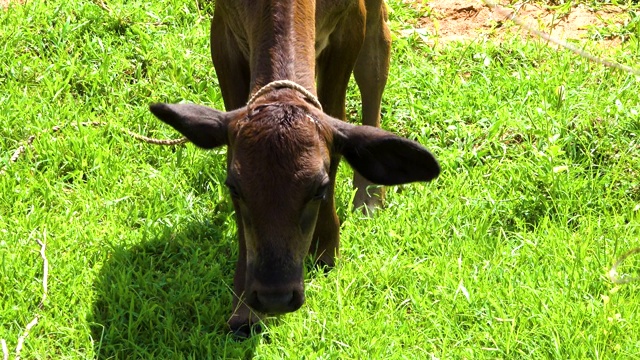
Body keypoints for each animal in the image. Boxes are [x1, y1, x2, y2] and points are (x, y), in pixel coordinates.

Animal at [150, 0, 440, 338]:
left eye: (320, 188)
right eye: (234, 186)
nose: (274, 296)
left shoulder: (349, 24)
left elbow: (339, 114)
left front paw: (326, 246)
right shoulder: (224, 28)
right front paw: (244, 309)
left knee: (377, 55)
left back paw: (368, 198)